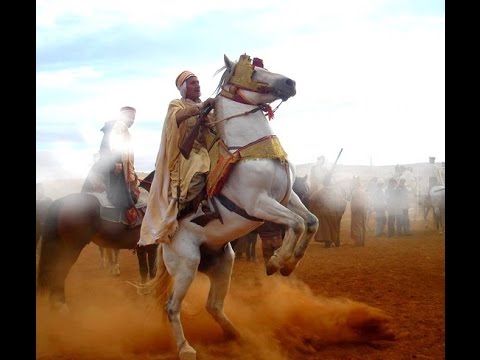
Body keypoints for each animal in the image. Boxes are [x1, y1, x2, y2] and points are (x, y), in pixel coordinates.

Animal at [36, 171, 155, 310]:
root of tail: (61, 201)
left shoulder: (142, 248)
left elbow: (144, 270)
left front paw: (144, 291)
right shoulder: (152, 247)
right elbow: (151, 272)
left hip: (59, 245)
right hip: (71, 249)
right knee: (60, 270)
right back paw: (61, 305)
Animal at [146, 53, 318, 360]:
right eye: (254, 71)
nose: (290, 83)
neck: (251, 149)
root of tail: (164, 242)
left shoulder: (287, 198)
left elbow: (310, 222)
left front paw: (290, 264)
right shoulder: (259, 203)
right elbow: (296, 224)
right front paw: (276, 262)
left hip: (224, 261)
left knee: (213, 305)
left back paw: (237, 335)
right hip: (187, 264)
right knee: (172, 307)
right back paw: (186, 348)